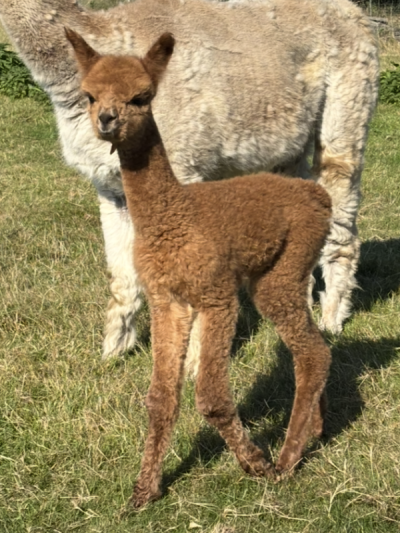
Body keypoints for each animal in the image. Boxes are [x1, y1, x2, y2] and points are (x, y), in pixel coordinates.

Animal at [0, 0, 379, 360]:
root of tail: (356, 14)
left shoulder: (181, 166)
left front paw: (193, 358)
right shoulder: (109, 186)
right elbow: (121, 277)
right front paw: (113, 352)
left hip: (348, 100)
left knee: (341, 193)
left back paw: (331, 320)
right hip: (287, 142)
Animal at [66, 28, 333, 508]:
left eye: (142, 96)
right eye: (89, 95)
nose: (107, 120)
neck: (174, 217)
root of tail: (317, 196)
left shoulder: (215, 296)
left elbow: (209, 396)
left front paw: (255, 463)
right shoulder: (167, 299)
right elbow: (160, 397)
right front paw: (144, 491)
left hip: (286, 266)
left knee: (314, 351)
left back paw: (286, 460)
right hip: (274, 274)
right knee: (310, 347)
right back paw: (312, 433)